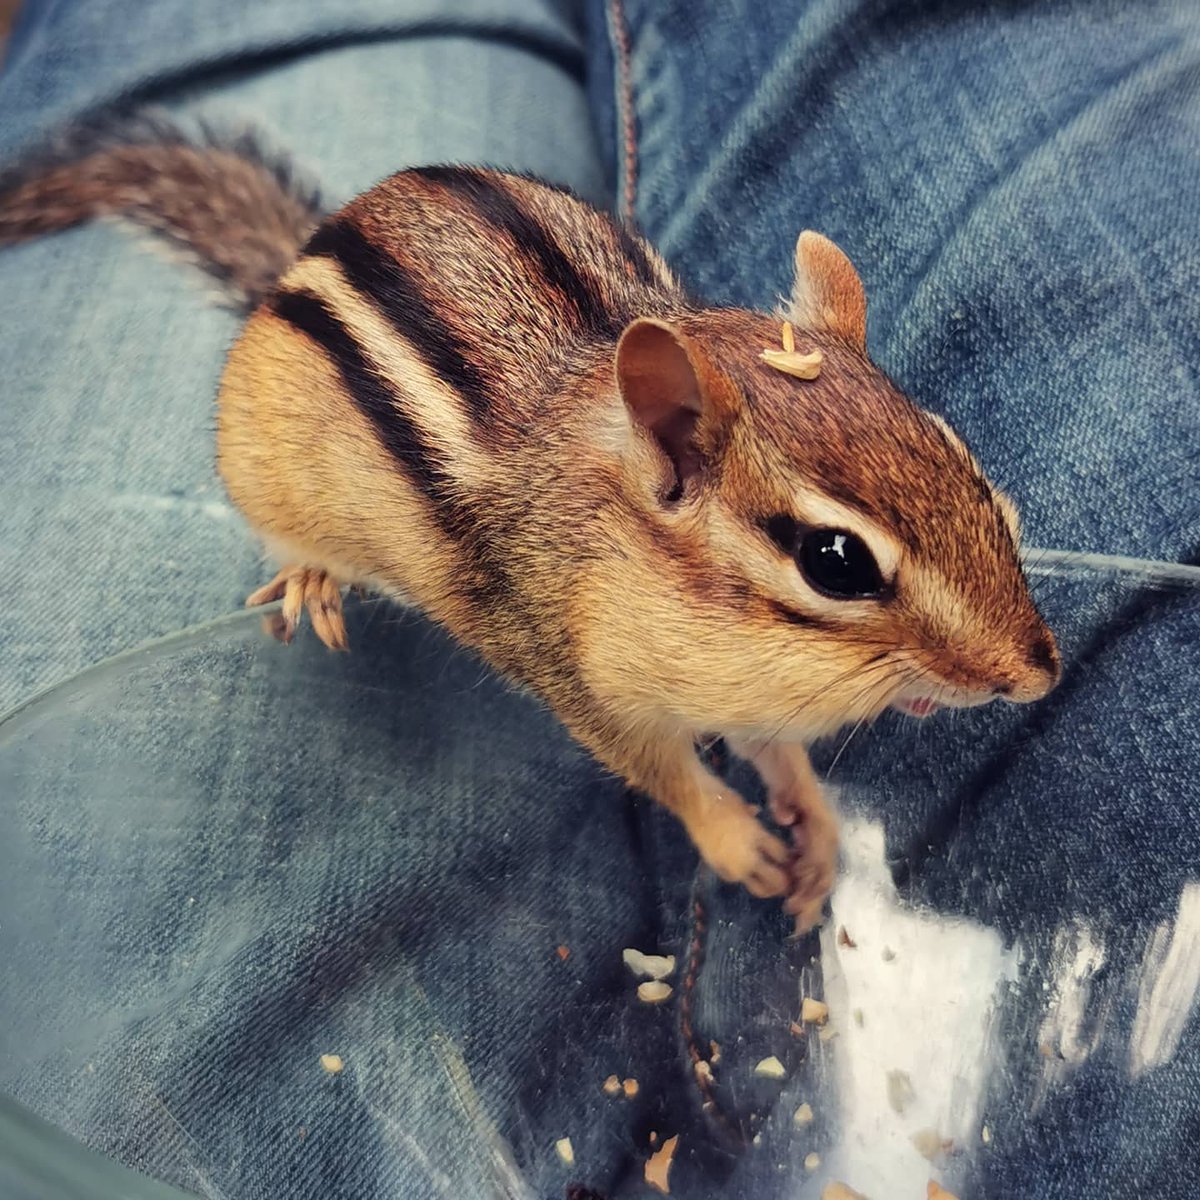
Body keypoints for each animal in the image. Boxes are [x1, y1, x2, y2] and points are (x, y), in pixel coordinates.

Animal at [0, 113, 1061, 930]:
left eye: (965, 460)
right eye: (835, 559)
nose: (1037, 673)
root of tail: (302, 250)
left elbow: (774, 751)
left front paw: (814, 825)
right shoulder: (570, 670)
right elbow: (659, 770)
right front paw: (735, 842)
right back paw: (310, 576)